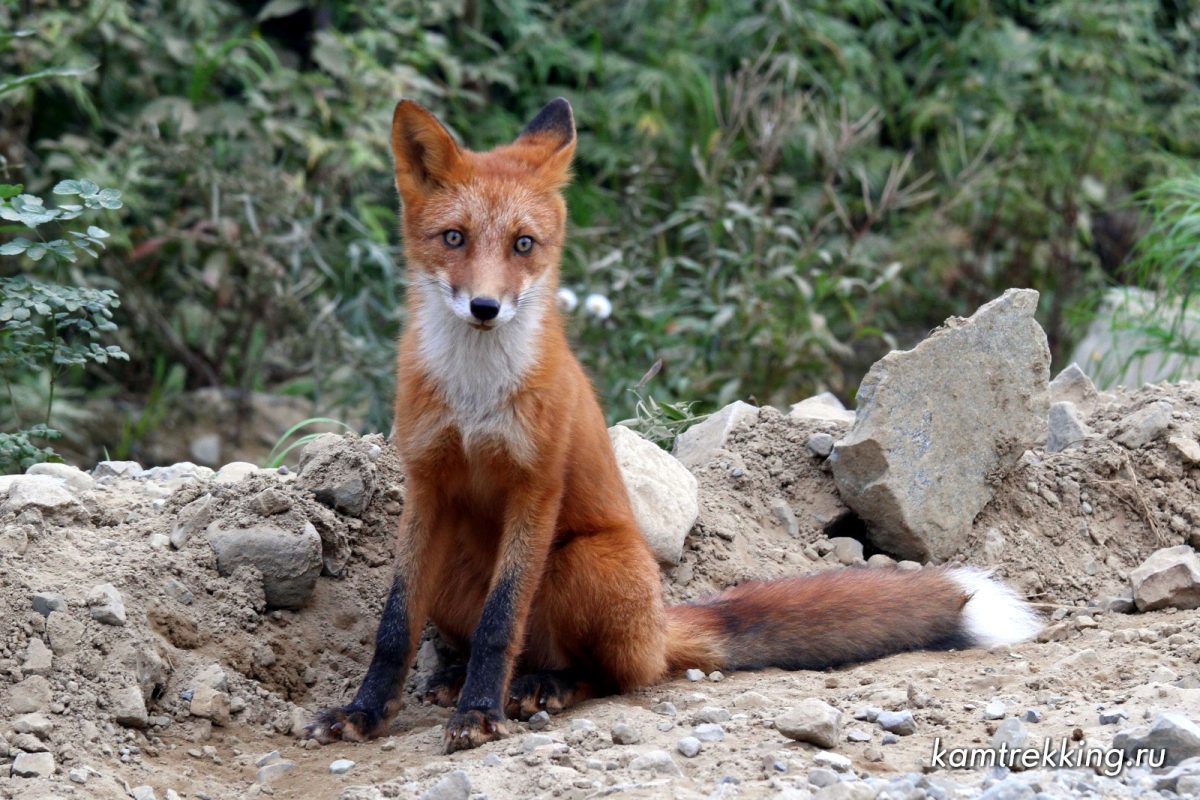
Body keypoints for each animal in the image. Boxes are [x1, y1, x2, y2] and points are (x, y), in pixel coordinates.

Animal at [304, 97, 1046, 753]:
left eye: (523, 244)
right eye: (454, 238)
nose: (485, 307)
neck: (474, 396)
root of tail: (658, 626)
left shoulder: (535, 486)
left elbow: (500, 623)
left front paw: (479, 715)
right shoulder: (426, 483)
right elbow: (394, 624)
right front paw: (366, 712)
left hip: (586, 560)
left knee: (610, 673)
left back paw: (542, 685)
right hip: (462, 557)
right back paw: (453, 678)